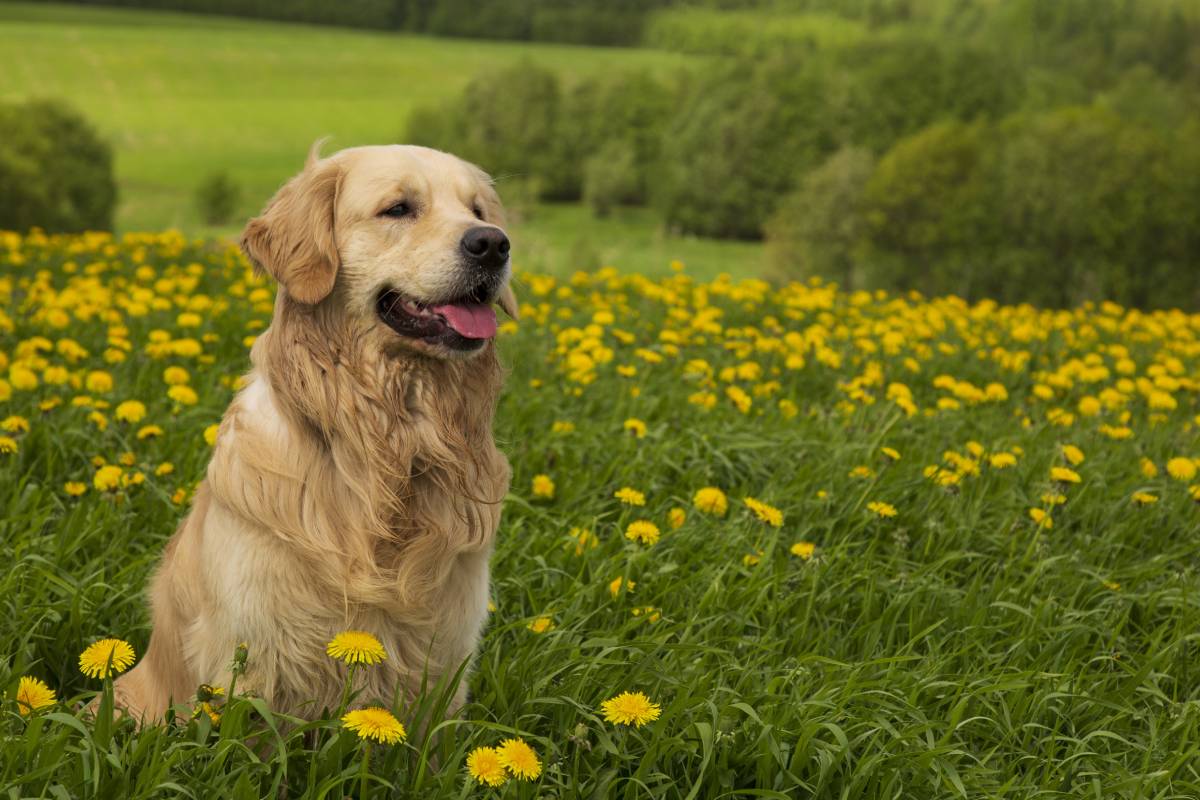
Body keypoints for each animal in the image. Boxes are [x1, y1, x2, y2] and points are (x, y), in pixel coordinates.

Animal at [113, 142, 520, 719]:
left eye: (478, 210)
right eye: (398, 208)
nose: (493, 245)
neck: (388, 444)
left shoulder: (442, 660)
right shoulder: (254, 655)